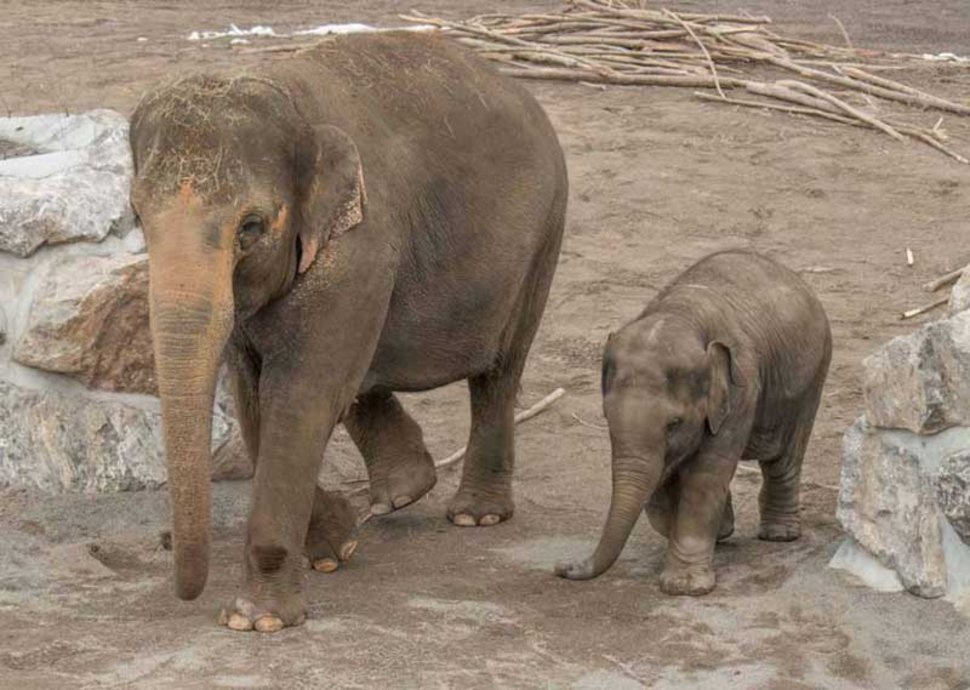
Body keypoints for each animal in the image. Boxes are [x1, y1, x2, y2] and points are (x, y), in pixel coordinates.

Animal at [129, 33, 568, 636]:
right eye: (136, 217)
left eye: (251, 227)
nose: (183, 589)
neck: (289, 99)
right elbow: (254, 400)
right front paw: (335, 548)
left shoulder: (361, 246)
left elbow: (299, 397)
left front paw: (256, 620)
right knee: (366, 375)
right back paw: (403, 490)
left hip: (542, 237)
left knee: (499, 371)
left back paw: (474, 515)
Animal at [556, 250, 828, 592]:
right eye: (606, 417)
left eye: (674, 423)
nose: (564, 567)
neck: (680, 314)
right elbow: (665, 477)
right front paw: (713, 532)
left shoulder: (742, 388)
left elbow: (705, 475)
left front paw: (684, 586)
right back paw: (727, 532)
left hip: (810, 379)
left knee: (784, 457)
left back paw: (779, 535)